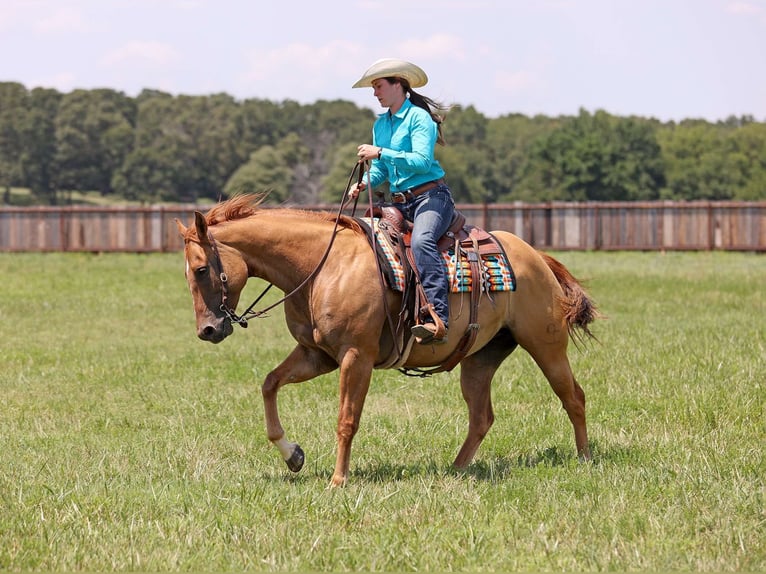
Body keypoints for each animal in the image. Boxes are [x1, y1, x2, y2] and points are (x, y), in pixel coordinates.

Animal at [175, 193, 598, 487]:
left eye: (200, 269)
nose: (207, 331)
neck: (322, 266)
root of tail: (536, 257)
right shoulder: (316, 354)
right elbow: (269, 384)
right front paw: (293, 455)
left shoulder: (355, 356)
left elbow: (347, 418)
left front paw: (338, 480)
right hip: (481, 358)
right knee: (481, 417)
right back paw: (456, 469)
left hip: (546, 346)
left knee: (574, 397)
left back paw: (584, 459)